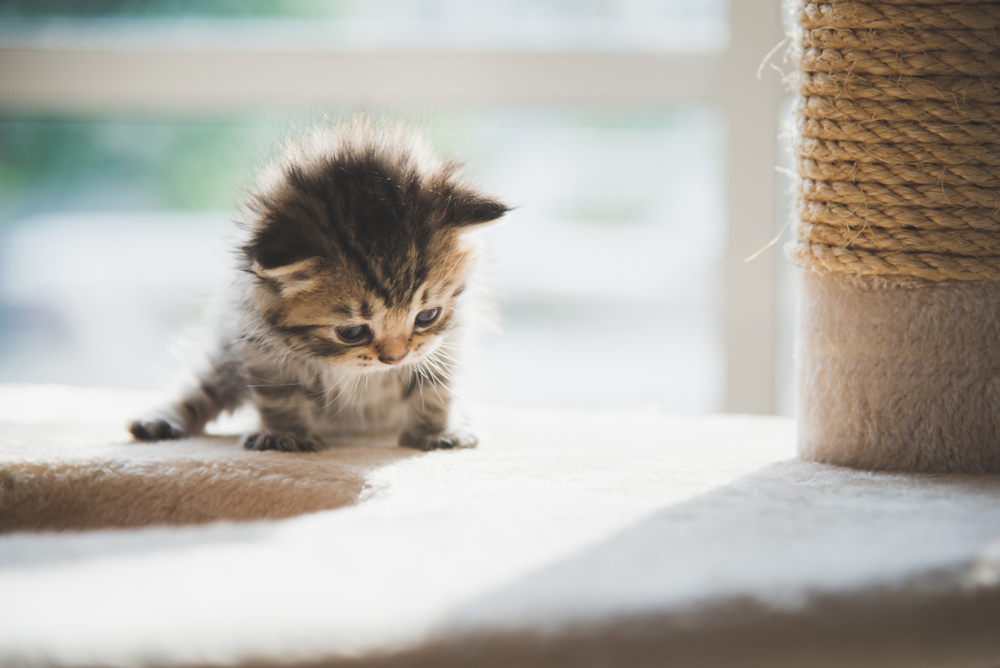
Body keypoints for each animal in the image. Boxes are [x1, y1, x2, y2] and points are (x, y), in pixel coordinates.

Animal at [128, 120, 508, 454]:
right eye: (352, 333)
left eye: (427, 316)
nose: (394, 359)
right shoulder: (261, 348)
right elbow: (280, 396)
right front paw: (285, 436)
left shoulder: (446, 345)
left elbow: (434, 389)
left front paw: (437, 431)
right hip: (226, 353)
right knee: (202, 388)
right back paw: (160, 420)